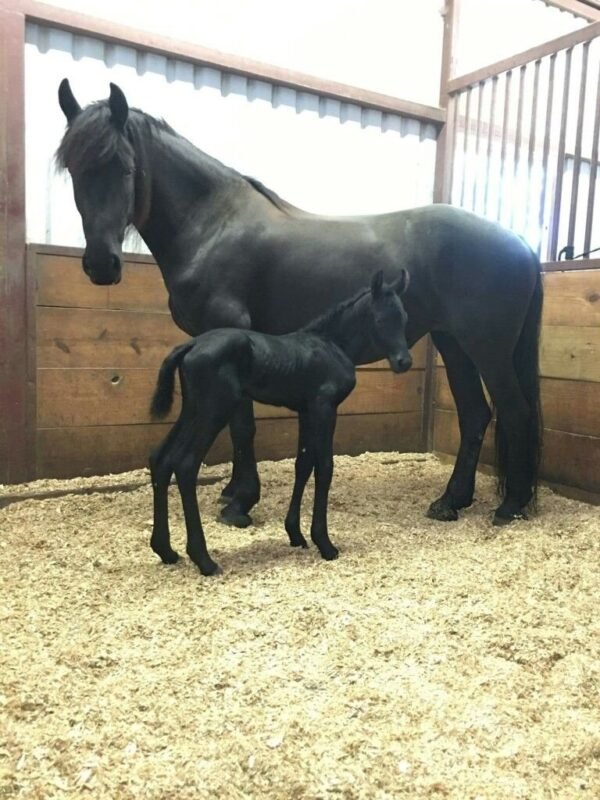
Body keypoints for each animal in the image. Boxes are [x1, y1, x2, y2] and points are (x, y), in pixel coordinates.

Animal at [56, 79, 543, 527]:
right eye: (73, 169)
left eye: (124, 168)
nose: (101, 264)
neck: (212, 225)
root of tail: (521, 243)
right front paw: (232, 492)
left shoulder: (229, 331)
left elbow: (242, 422)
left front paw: (241, 502)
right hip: (453, 343)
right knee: (476, 414)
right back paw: (451, 501)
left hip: (487, 348)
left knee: (514, 411)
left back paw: (510, 506)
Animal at [148, 269, 411, 576]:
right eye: (380, 319)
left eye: (404, 318)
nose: (404, 362)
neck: (332, 344)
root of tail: (191, 344)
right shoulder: (325, 408)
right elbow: (324, 468)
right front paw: (325, 543)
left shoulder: (306, 411)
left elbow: (303, 464)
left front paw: (296, 534)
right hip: (214, 410)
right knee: (185, 464)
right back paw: (204, 560)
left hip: (193, 409)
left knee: (161, 458)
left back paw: (165, 550)